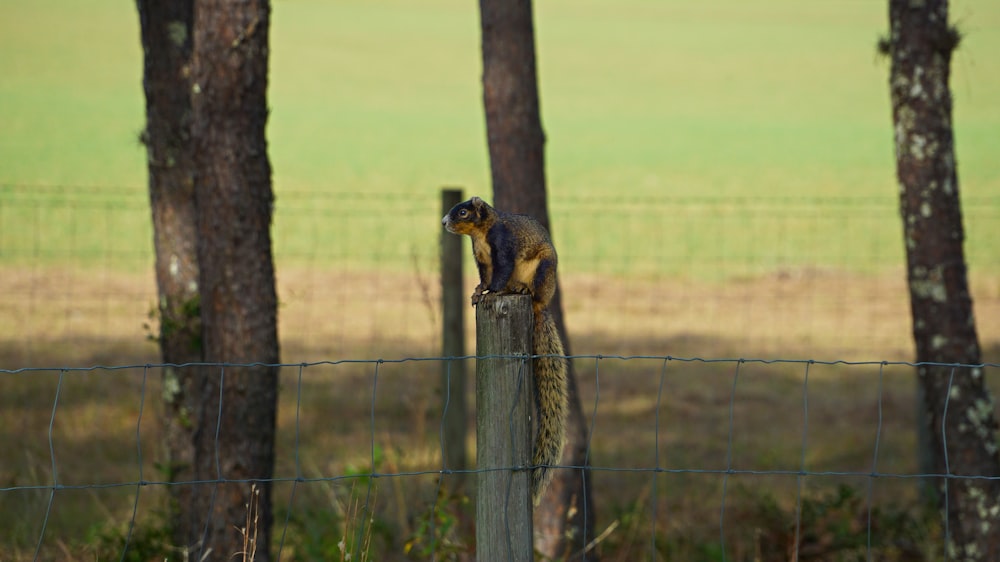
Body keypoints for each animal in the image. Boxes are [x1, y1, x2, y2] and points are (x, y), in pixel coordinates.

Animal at [440, 195, 568, 500]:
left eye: (463, 212)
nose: (444, 222)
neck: (480, 234)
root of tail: (540, 306)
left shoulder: (503, 246)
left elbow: (500, 274)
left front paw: (492, 293)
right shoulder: (482, 259)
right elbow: (486, 277)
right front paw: (478, 292)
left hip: (541, 270)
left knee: (529, 287)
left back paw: (520, 290)